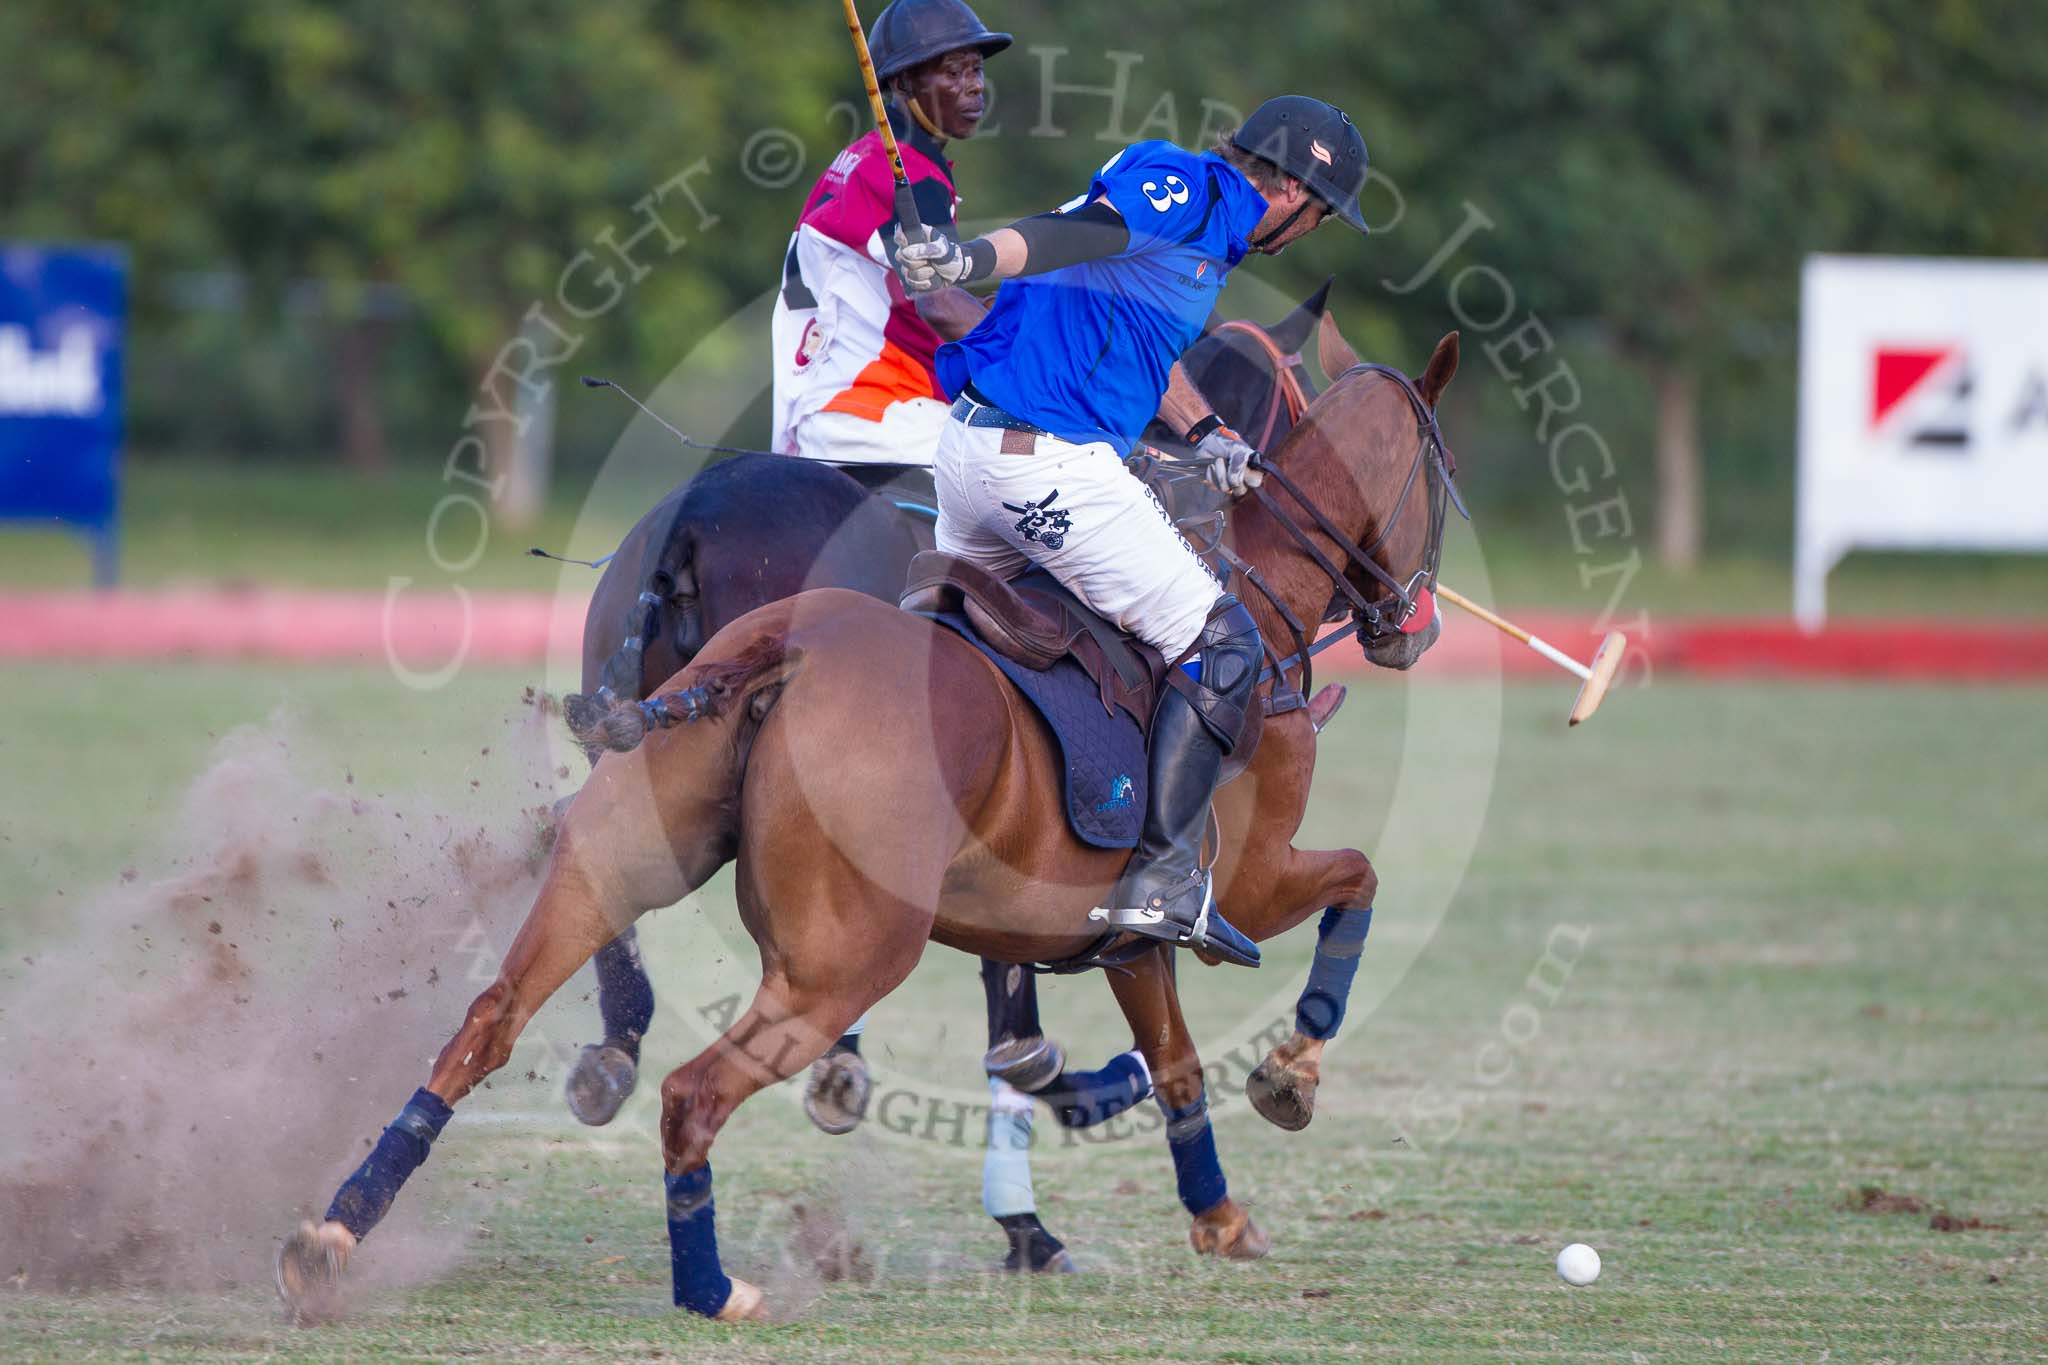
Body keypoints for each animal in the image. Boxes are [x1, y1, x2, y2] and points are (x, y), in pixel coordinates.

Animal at [280, 339, 1466, 1326]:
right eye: (1442, 476)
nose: (1414, 629)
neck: (1255, 610)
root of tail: (785, 648)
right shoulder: (1246, 883)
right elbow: (1355, 882)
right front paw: (1289, 1071)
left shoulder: (1122, 930)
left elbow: (1167, 1062)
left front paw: (1212, 1210)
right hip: (844, 958)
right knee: (692, 1092)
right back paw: (713, 1287)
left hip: (617, 860)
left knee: (490, 1019)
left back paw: (336, 1229)